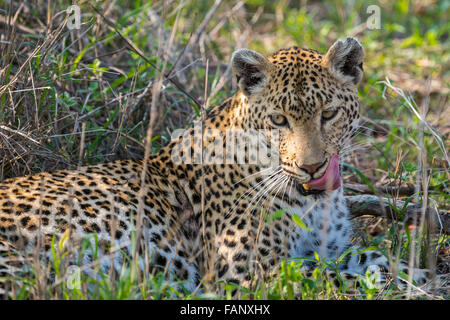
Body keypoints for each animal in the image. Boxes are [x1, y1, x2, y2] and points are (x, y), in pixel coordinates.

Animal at [0, 37, 428, 298]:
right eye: (278, 121)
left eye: (329, 114)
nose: (313, 167)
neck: (315, 201)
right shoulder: (247, 273)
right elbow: (334, 276)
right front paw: (408, 283)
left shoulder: (331, 248)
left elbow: (370, 257)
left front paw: (415, 273)